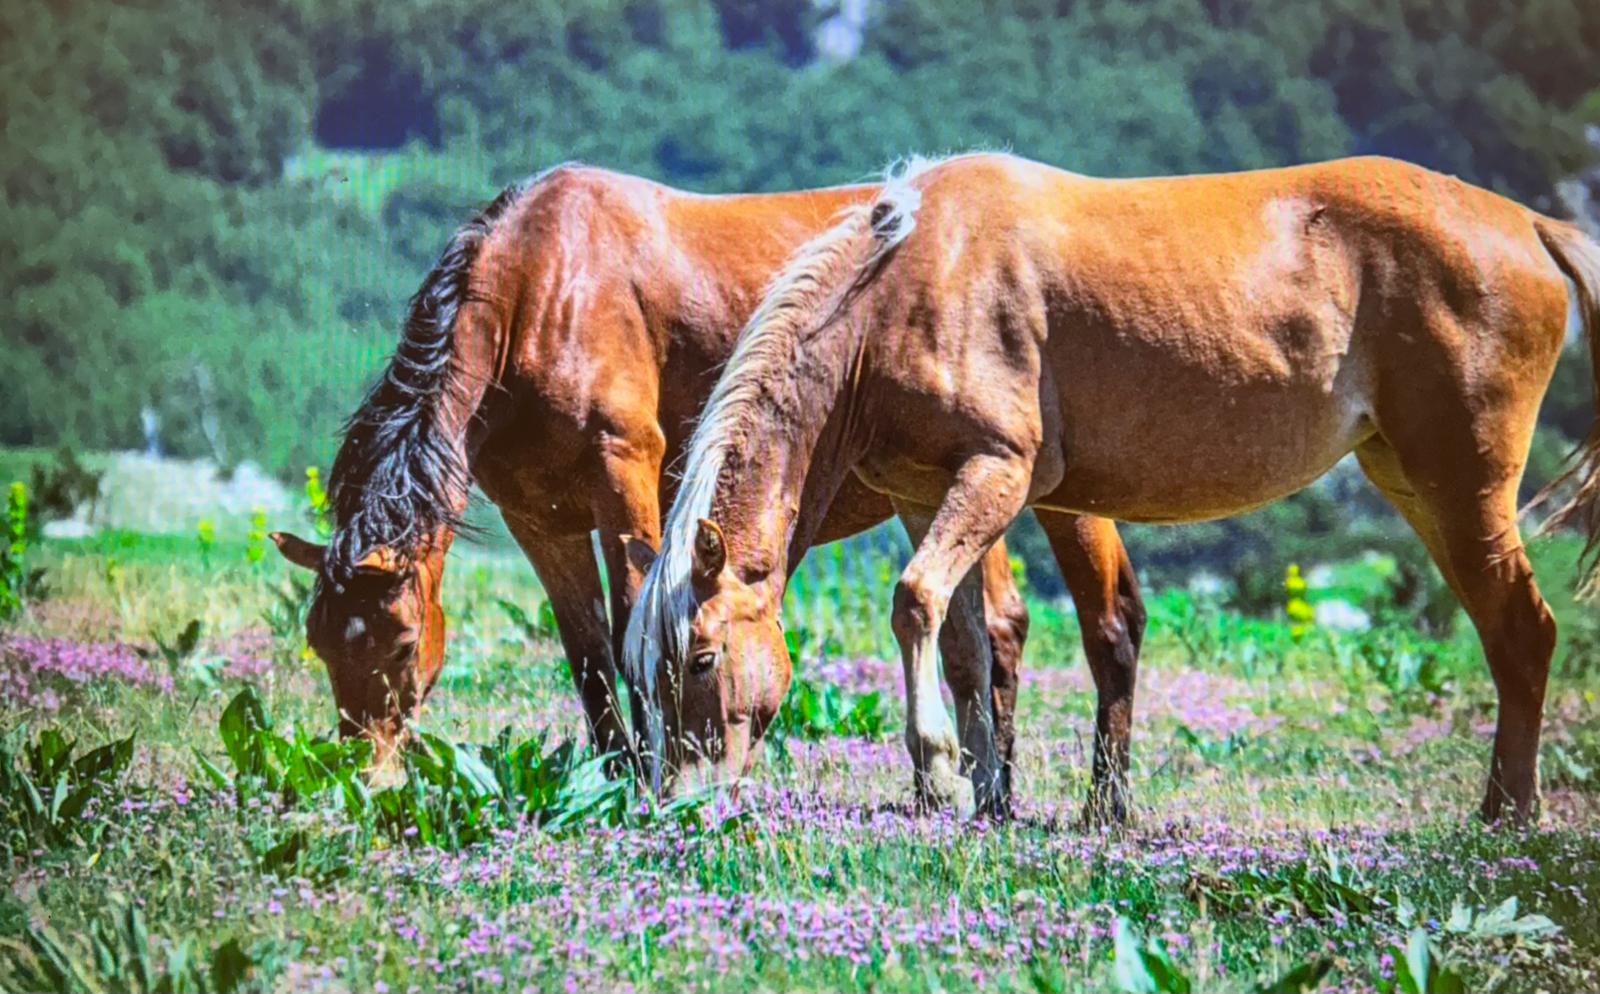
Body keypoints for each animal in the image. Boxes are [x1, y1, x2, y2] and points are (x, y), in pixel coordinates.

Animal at [267, 163, 1147, 795]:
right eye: (321, 642)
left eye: (400, 640)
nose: (366, 778)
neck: (539, 287)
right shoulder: (540, 521)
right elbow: (590, 656)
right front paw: (616, 776)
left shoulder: (623, 479)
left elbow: (634, 620)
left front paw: (649, 776)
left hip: (1055, 495)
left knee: (1085, 622)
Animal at [626, 151, 1600, 826]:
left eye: (702, 658)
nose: (678, 801)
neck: (902, 286)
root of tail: (1528, 223)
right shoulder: (925, 496)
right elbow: (966, 644)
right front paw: (985, 793)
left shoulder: (996, 473)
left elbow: (914, 603)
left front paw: (940, 773)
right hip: (1416, 485)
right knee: (1506, 633)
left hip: (1464, 487)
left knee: (1524, 632)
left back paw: (1507, 819)